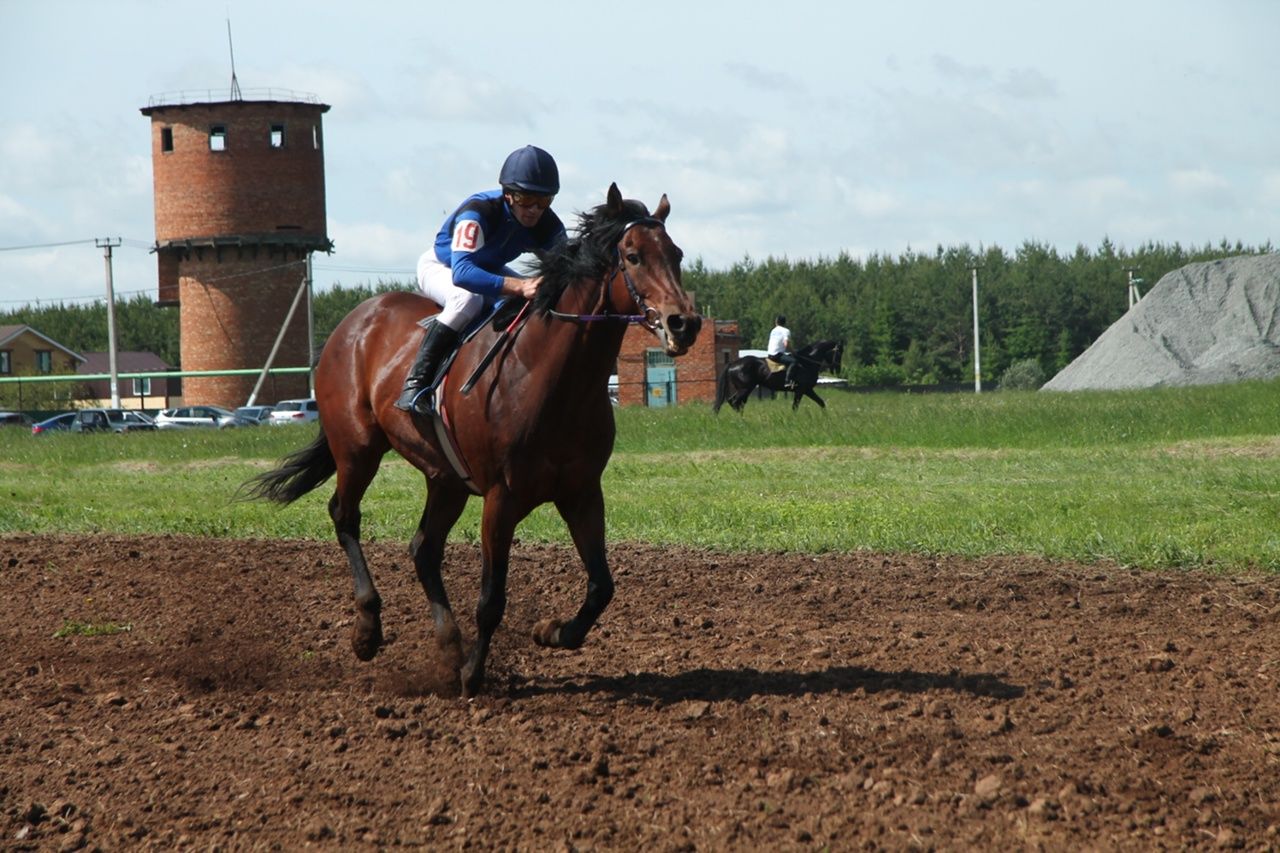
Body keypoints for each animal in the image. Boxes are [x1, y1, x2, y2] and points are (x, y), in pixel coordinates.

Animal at [240, 183, 701, 696]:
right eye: (633, 256)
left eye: (677, 254)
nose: (684, 323)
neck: (552, 380)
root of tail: (353, 321)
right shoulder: (501, 498)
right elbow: (491, 600)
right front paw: (472, 676)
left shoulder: (581, 492)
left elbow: (602, 586)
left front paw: (551, 632)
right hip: (358, 449)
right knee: (345, 515)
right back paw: (368, 630)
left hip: (445, 478)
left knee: (423, 548)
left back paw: (447, 644)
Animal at [716, 335, 844, 412]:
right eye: (839, 353)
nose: (838, 369)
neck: (807, 362)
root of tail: (733, 364)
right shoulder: (802, 390)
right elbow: (795, 407)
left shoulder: (807, 390)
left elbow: (821, 403)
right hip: (745, 388)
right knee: (735, 402)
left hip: (745, 389)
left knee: (735, 402)